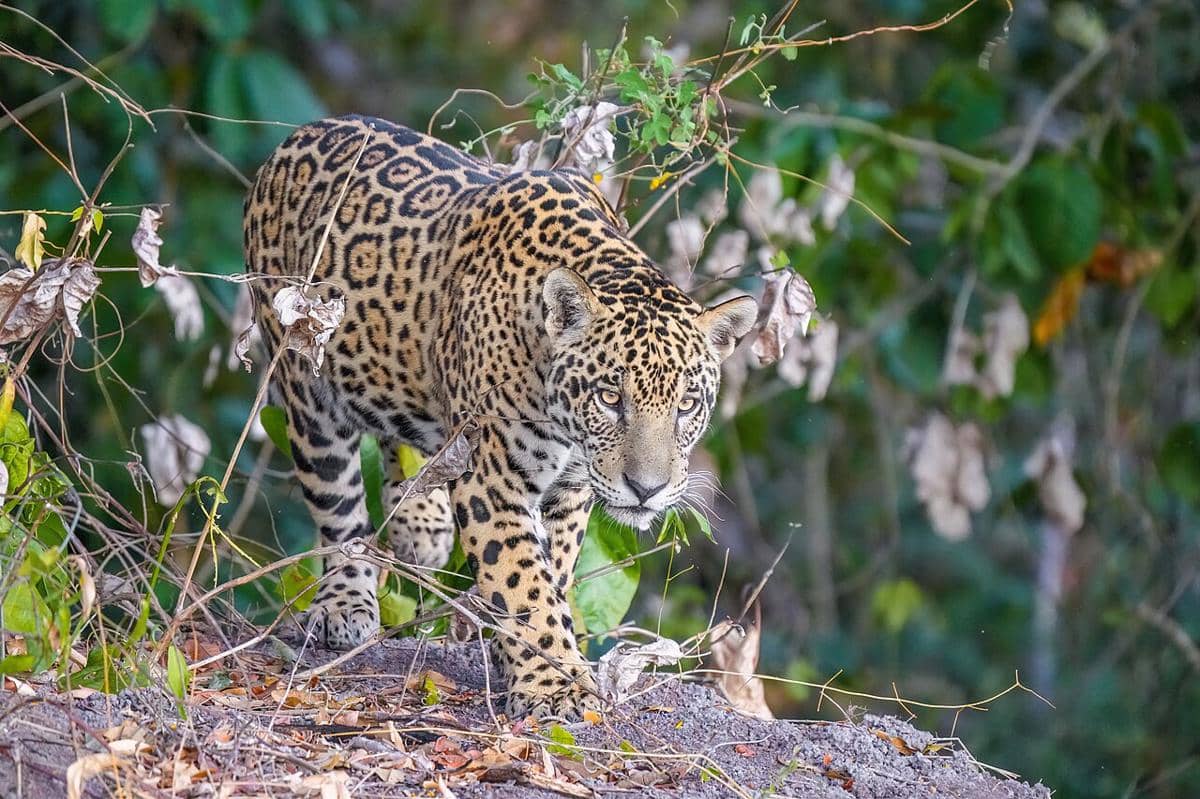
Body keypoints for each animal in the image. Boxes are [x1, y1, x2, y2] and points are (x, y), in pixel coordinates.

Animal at [243, 114, 757, 719]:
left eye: (687, 405)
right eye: (611, 397)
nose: (646, 490)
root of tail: (298, 136)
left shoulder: (572, 490)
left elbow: (552, 572)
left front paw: (525, 657)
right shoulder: (492, 477)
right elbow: (522, 579)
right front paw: (556, 686)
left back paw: (422, 517)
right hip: (308, 392)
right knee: (339, 509)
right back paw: (345, 602)